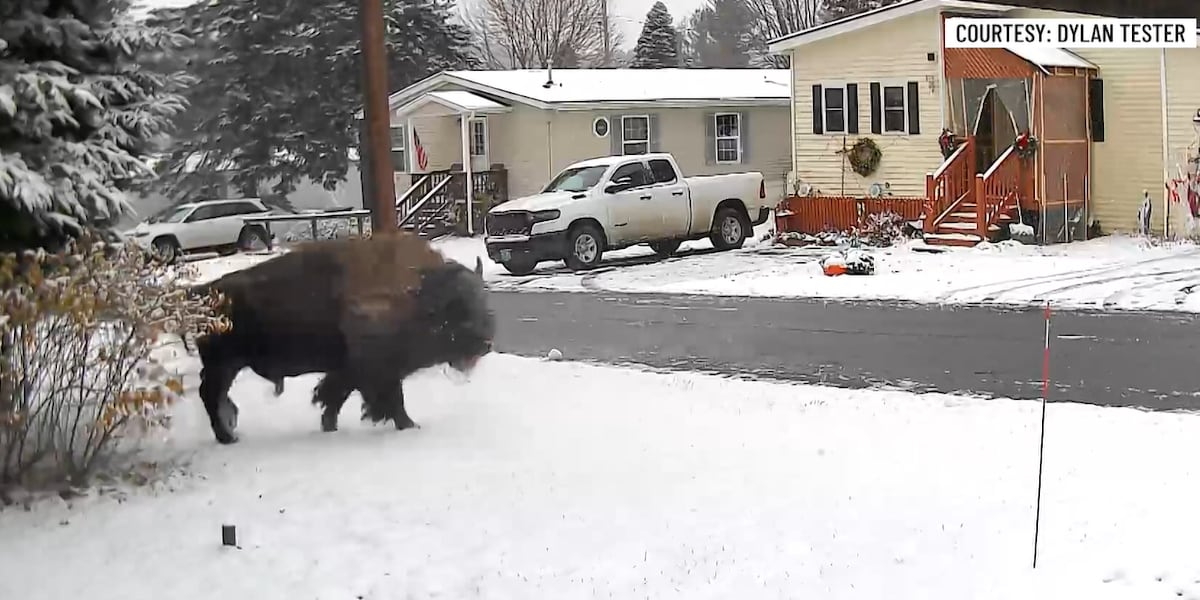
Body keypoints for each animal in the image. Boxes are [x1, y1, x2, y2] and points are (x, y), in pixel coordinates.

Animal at [190, 232, 495, 444]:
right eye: (456, 306)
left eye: (482, 297)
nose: (485, 342)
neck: (418, 293)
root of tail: (201, 292)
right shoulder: (377, 371)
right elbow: (391, 399)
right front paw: (409, 425)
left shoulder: (348, 371)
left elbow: (334, 395)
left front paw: (329, 426)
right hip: (223, 365)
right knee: (211, 395)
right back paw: (228, 437)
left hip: (226, 366)